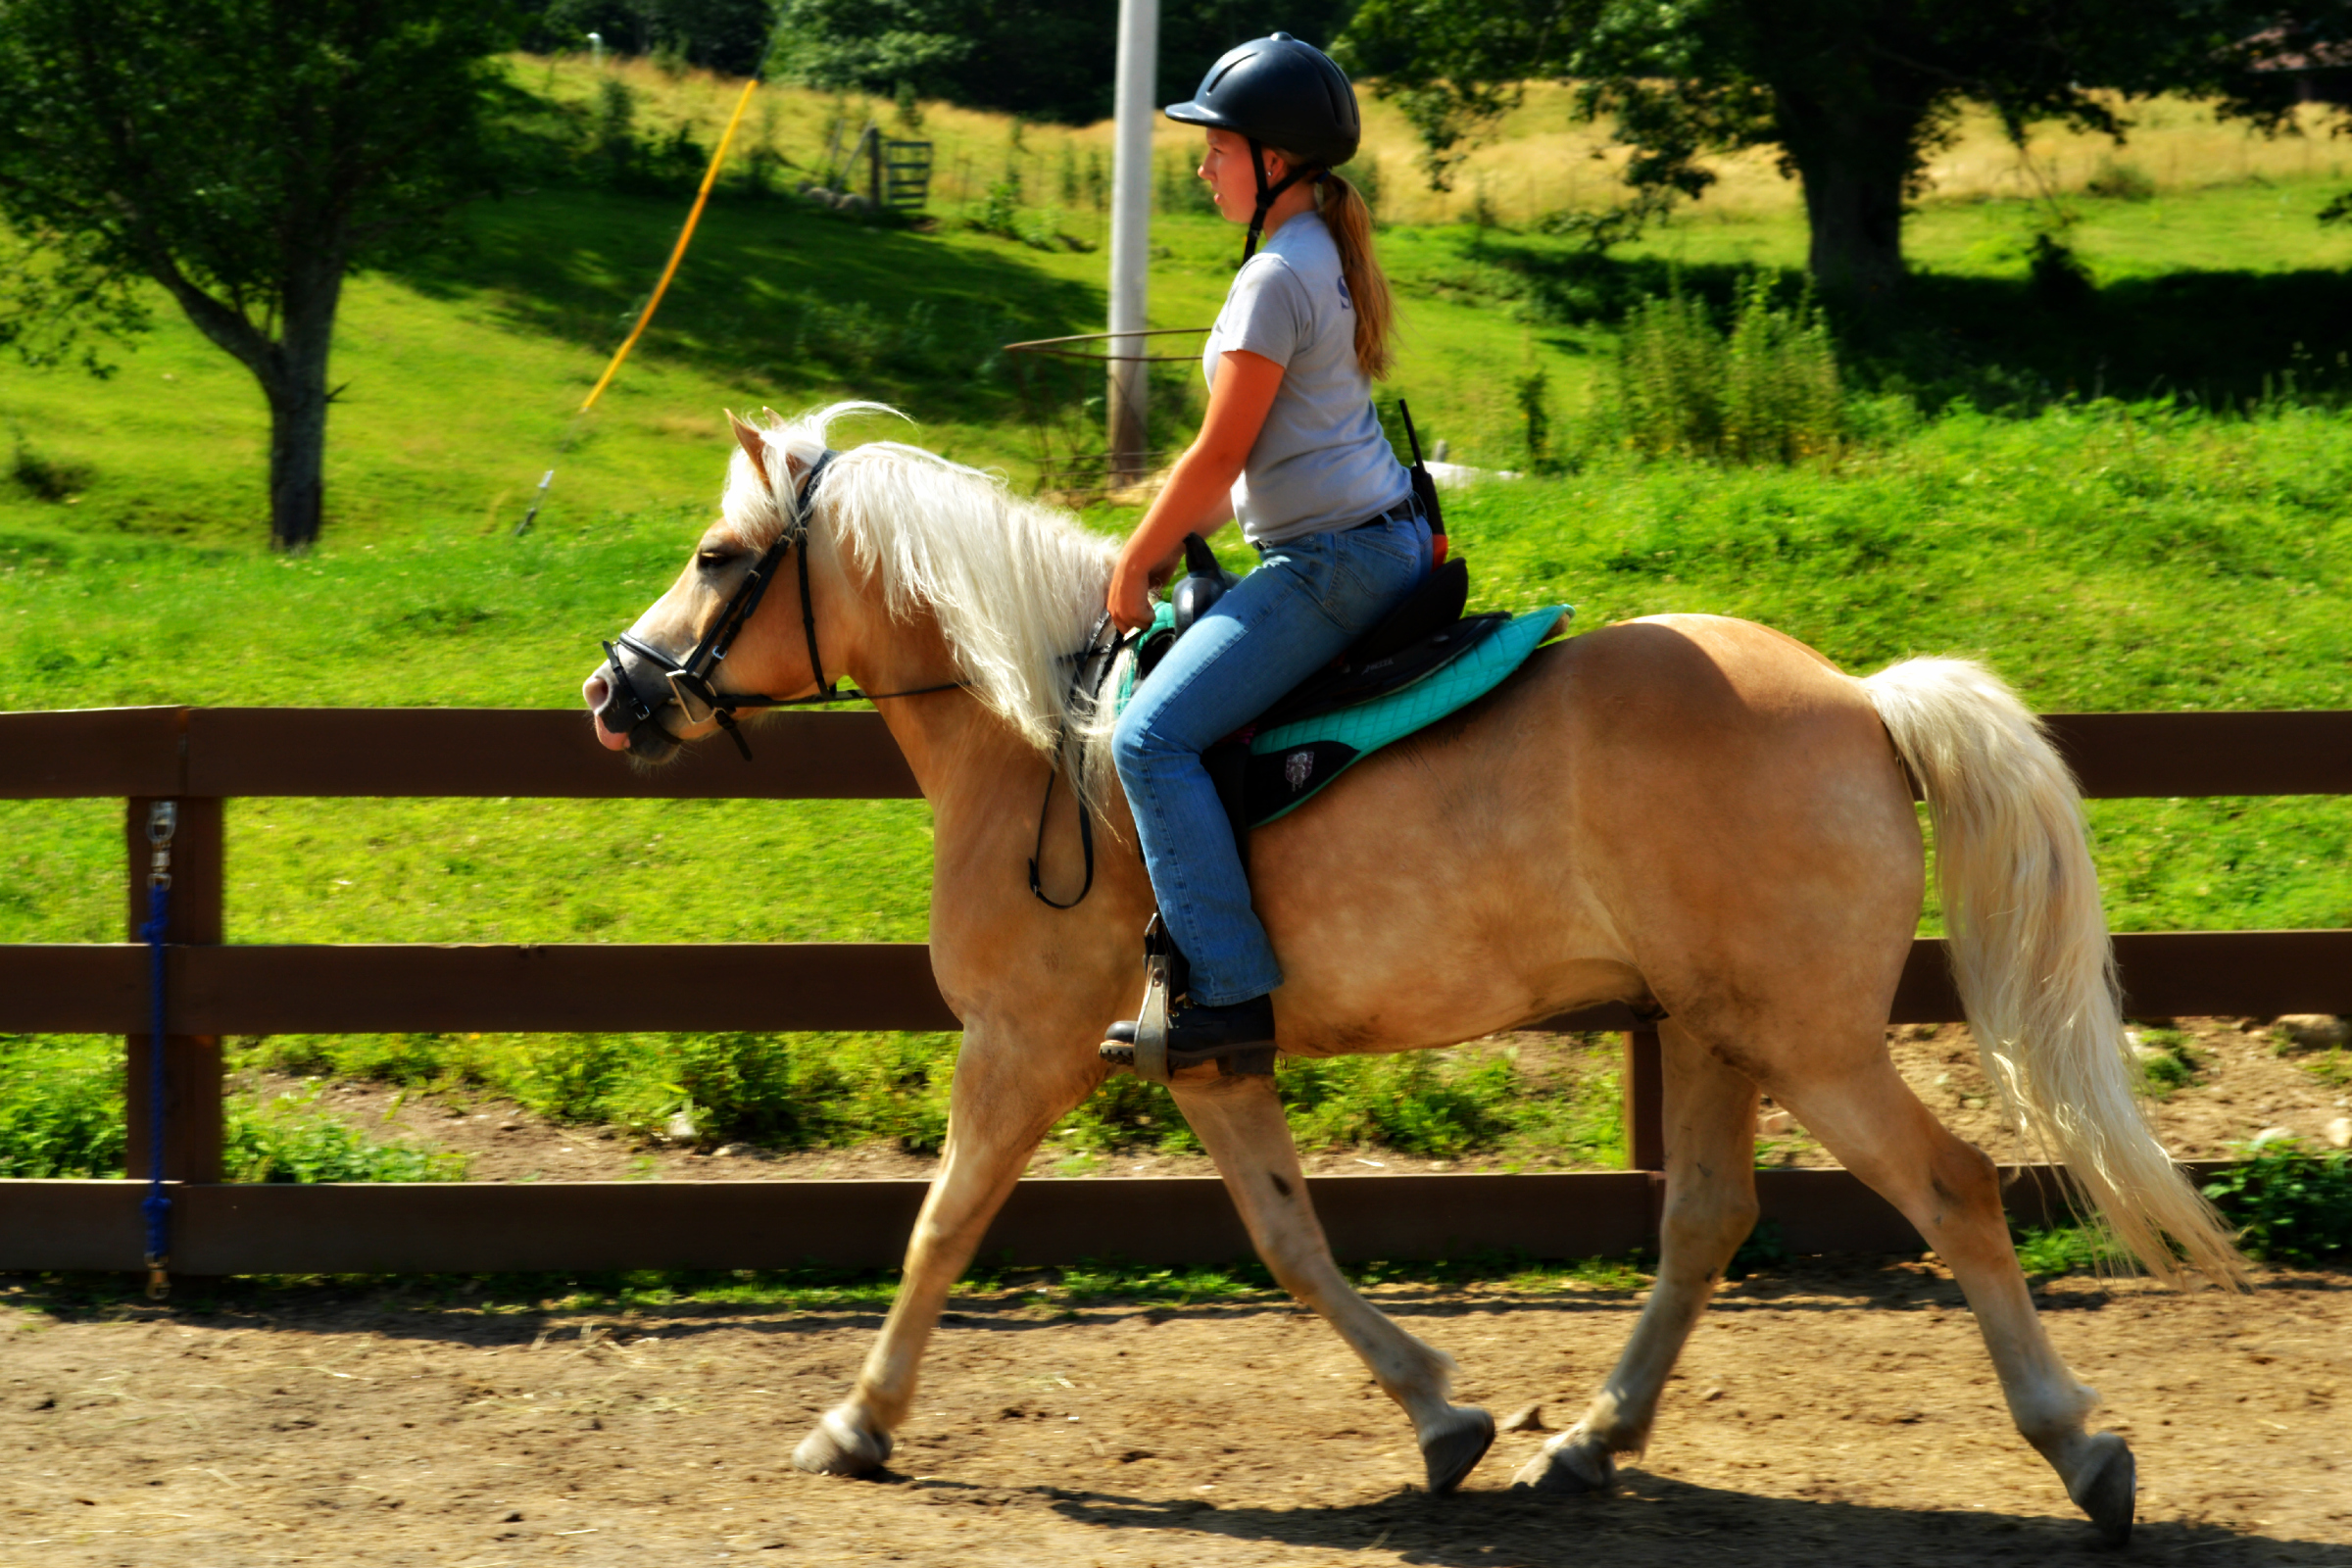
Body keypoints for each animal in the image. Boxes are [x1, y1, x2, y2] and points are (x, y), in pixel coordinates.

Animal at [578, 404, 2230, 1542]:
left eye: (718, 558)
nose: (612, 689)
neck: (1047, 737)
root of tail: (1864, 701)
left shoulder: (1020, 1045)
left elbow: (936, 1231)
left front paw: (855, 1423)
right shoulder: (1213, 1059)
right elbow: (1293, 1240)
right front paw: (1445, 1416)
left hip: (1812, 1043)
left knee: (1954, 1190)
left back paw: (2084, 1449)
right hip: (1714, 1031)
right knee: (1705, 1220)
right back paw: (1590, 1443)